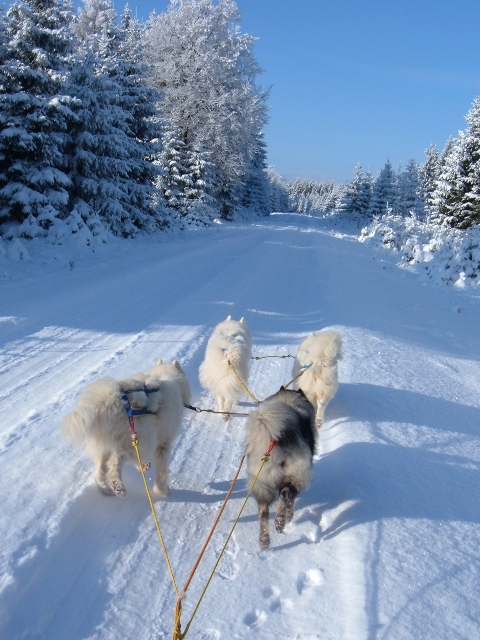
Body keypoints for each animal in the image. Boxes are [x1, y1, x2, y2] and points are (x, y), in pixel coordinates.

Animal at [61, 358, 191, 498]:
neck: (167, 377)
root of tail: (112, 402)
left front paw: (143, 466)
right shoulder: (163, 445)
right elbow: (161, 473)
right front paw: (163, 492)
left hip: (107, 445)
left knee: (100, 470)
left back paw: (106, 489)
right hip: (136, 441)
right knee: (114, 463)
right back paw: (117, 485)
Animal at [246, 388, 316, 548]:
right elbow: (291, 502)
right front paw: (289, 516)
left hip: (262, 483)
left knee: (264, 512)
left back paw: (264, 539)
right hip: (295, 476)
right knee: (285, 496)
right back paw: (281, 520)